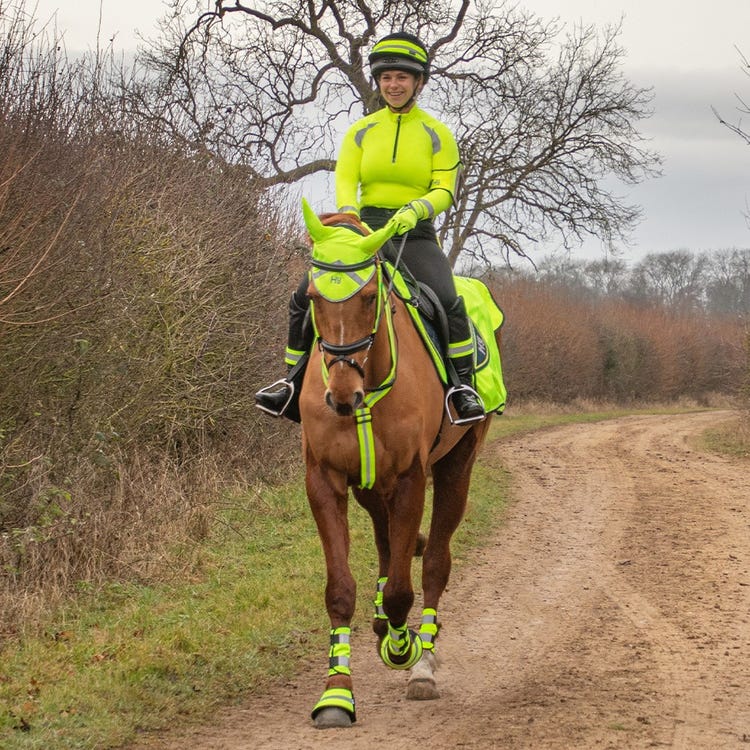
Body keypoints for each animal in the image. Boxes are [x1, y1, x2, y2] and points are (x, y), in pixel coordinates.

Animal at [298, 203, 500, 732]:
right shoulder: (324, 480)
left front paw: (402, 647)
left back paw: (422, 661)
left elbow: (403, 593)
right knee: (388, 541)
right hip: (371, 486)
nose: (341, 397)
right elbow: (340, 590)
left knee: (434, 564)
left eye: (370, 296)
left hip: (455, 469)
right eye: (311, 298)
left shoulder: (411, 478)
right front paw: (335, 695)